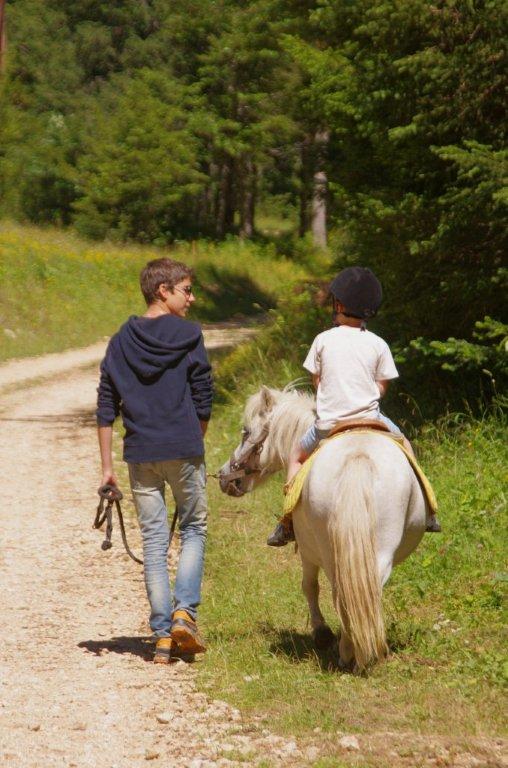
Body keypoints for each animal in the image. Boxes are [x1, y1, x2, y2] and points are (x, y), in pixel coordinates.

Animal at [220, 388, 426, 668]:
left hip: (329, 551)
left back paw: (348, 651)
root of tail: (357, 458)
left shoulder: (306, 550)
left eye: (246, 432)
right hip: (377, 551)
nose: (224, 478)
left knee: (341, 593)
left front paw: (321, 633)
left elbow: (309, 586)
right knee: (365, 590)